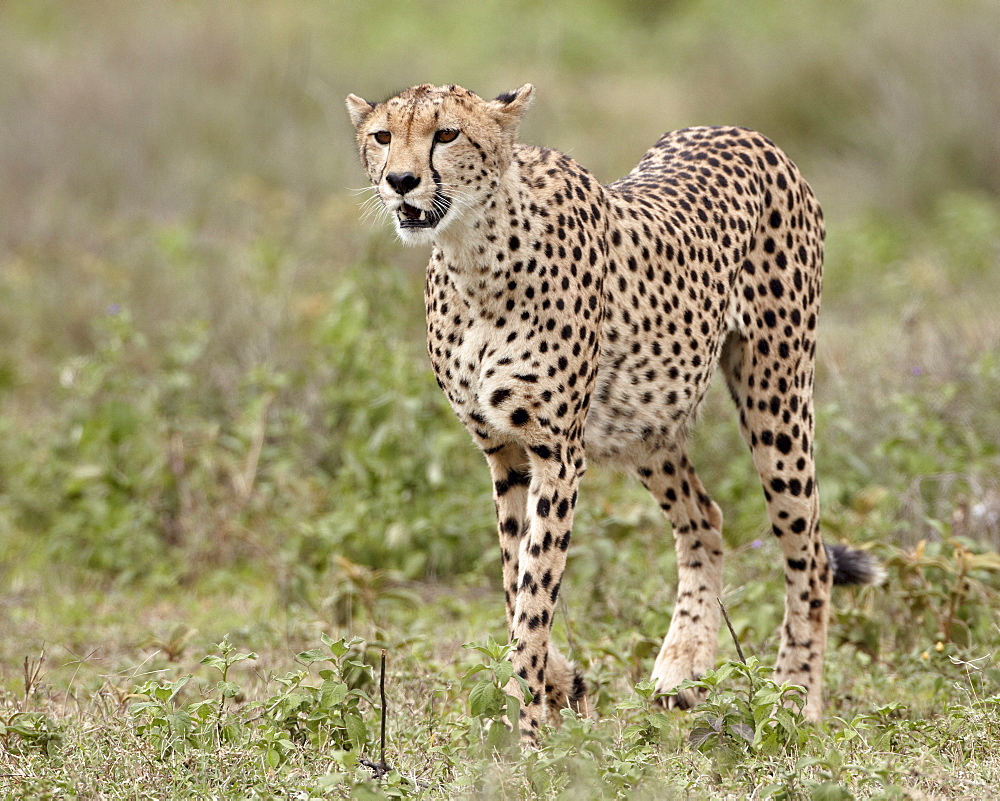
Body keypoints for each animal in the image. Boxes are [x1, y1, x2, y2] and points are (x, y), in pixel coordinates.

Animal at [348, 83, 880, 744]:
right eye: (383, 136)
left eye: (446, 134)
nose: (400, 180)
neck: (473, 255)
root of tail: (741, 131)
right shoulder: (504, 453)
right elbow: (514, 582)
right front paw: (558, 684)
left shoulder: (557, 454)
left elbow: (533, 597)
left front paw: (528, 731)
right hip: (644, 421)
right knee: (704, 516)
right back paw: (683, 664)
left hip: (775, 396)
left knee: (808, 554)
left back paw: (793, 699)